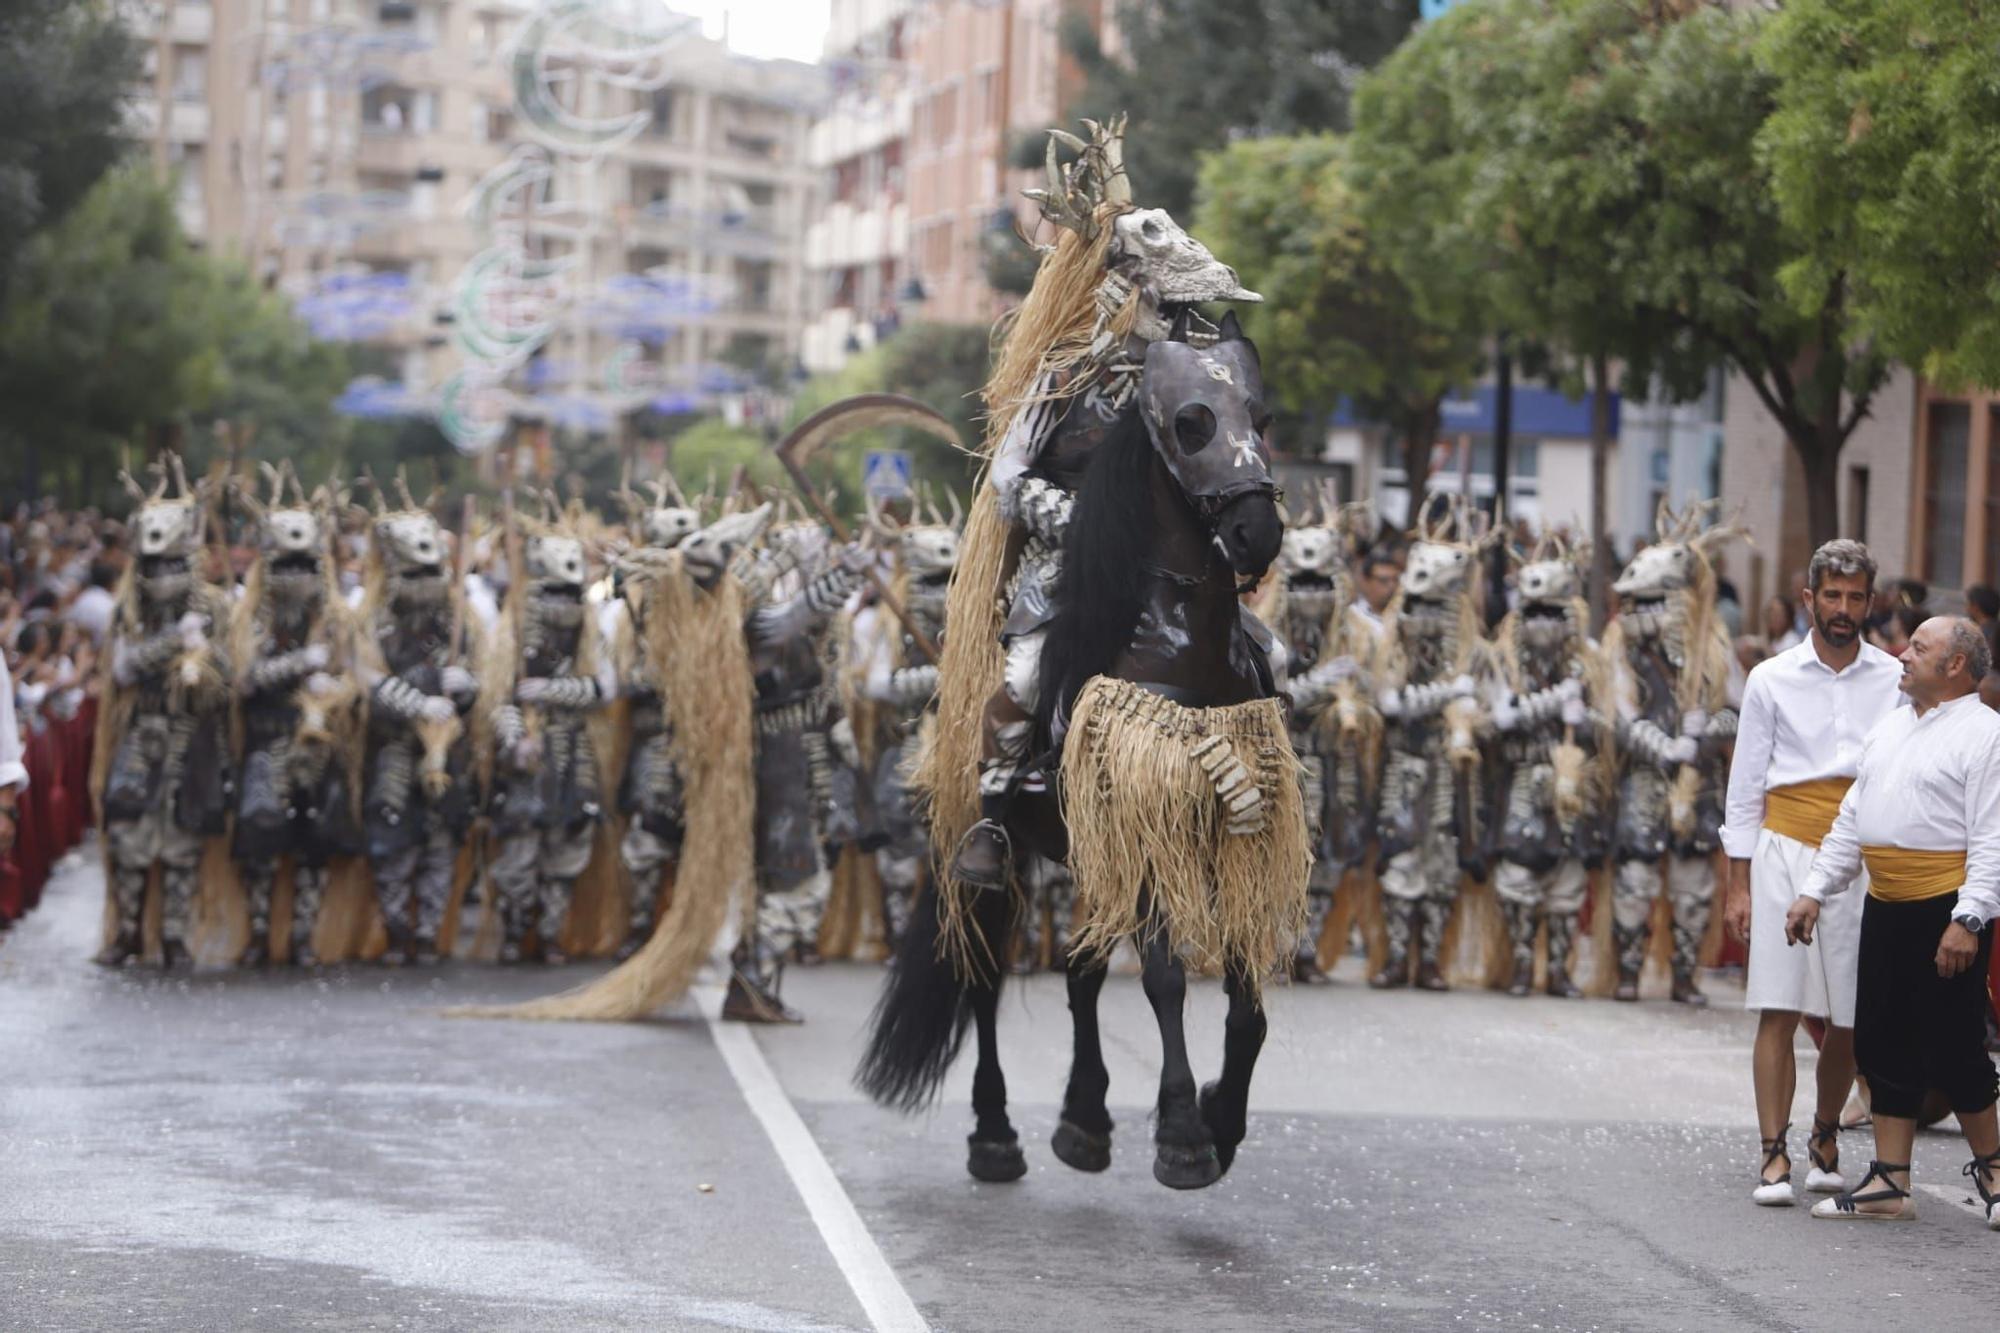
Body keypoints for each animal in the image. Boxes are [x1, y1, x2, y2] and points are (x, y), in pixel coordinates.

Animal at [852, 316, 1288, 1184]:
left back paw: (1083, 1118)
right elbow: (1163, 977)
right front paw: (1184, 1131)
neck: (1182, 653)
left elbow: (1245, 996)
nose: (1256, 531)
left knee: (1082, 971)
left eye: (1261, 418)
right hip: (995, 852)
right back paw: (995, 1133)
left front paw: (1223, 1115)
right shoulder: (1144, 822)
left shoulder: (1227, 831)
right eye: (1191, 423)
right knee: (985, 978)